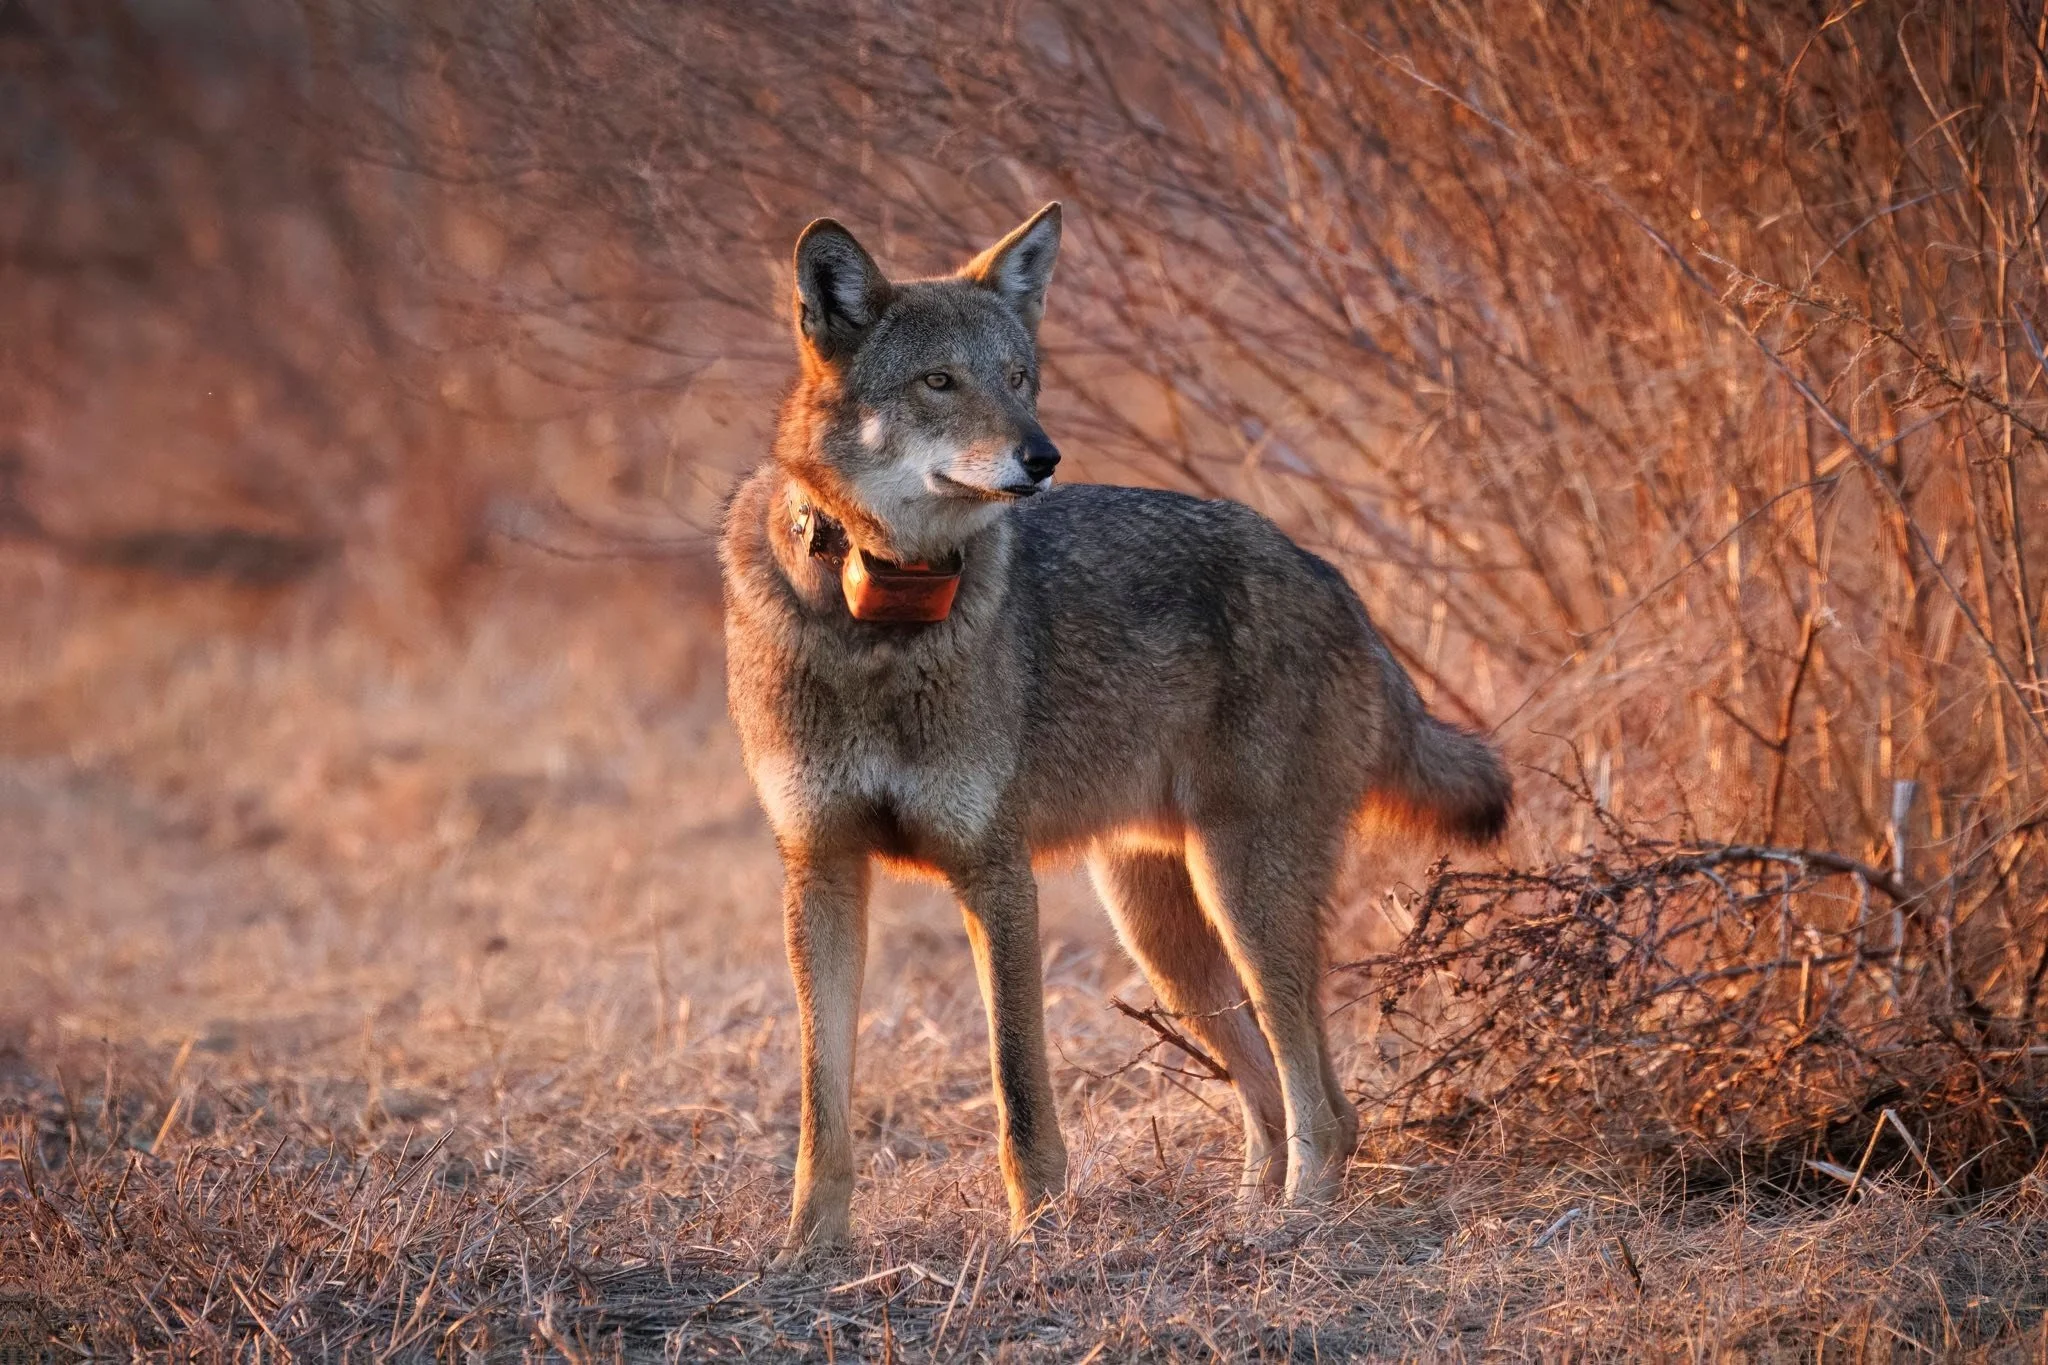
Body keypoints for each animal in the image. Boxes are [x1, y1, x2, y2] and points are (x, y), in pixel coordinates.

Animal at [720, 203, 1510, 1262]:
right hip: (1165, 934)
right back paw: (1244, 1221)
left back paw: (1293, 1226)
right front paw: (807, 1249)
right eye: (940, 382)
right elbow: (821, 1104)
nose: (1043, 457)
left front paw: (1037, 1237)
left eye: (1019, 377)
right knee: (1272, 1098)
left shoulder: (996, 875)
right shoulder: (822, 870)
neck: (875, 618)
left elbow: (1019, 1091)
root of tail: (1338, 584)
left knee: (1325, 1105)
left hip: (1243, 902)